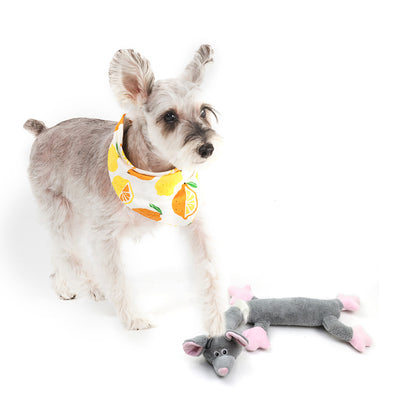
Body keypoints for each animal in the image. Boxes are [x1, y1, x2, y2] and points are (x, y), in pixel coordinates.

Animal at [24, 44, 226, 334]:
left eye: (204, 111)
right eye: (169, 116)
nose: (207, 148)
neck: (154, 174)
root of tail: (44, 131)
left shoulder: (192, 220)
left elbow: (209, 267)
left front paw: (217, 318)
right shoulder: (105, 237)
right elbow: (116, 279)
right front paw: (134, 318)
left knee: (60, 253)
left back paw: (64, 287)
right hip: (61, 214)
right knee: (69, 253)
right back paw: (92, 287)